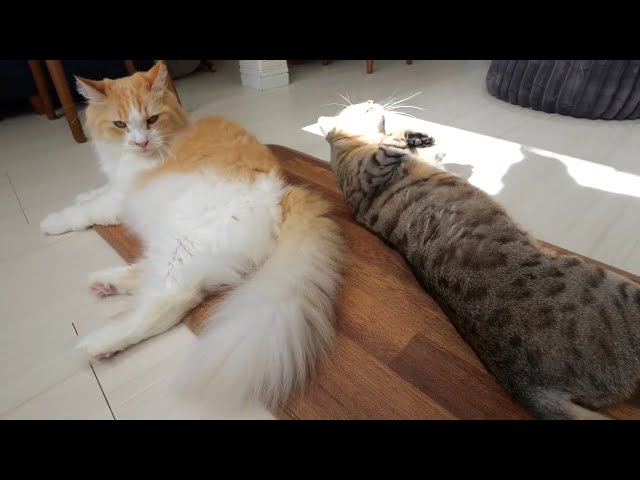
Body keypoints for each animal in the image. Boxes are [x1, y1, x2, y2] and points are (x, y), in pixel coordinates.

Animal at [40, 64, 346, 408]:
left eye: (151, 120)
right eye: (120, 124)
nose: (141, 142)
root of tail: (283, 194)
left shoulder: (121, 197)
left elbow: (87, 211)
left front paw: (52, 221)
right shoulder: (117, 184)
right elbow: (95, 192)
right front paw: (80, 196)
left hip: (181, 243)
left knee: (170, 300)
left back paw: (103, 342)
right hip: (174, 244)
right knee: (151, 278)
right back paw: (105, 283)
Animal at [318, 100, 640, 420]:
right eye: (356, 106)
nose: (372, 101)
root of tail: (527, 387)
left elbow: (424, 147)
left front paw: (420, 137)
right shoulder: (368, 176)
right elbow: (386, 149)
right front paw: (402, 137)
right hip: (619, 288)